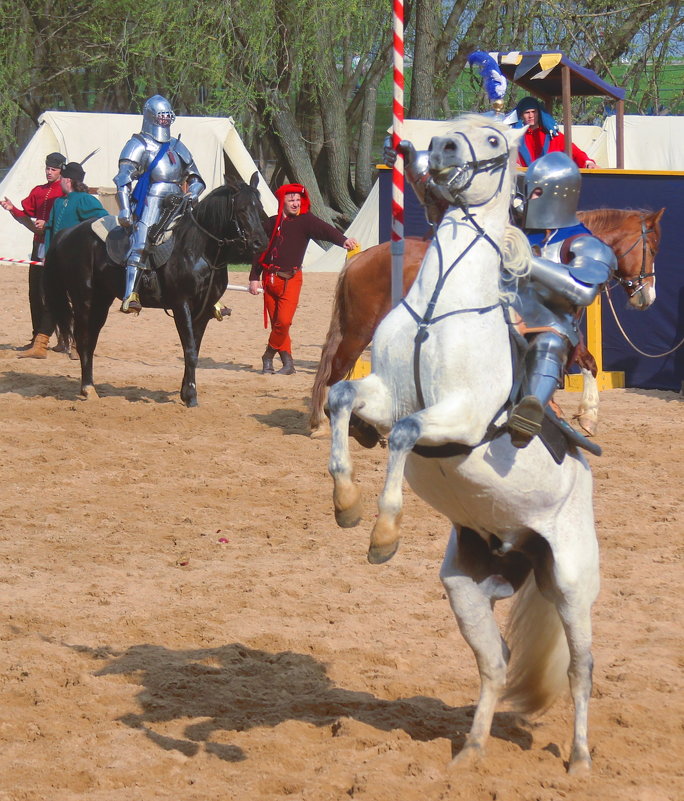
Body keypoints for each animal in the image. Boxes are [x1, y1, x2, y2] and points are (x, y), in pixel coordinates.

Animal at [43, 171, 268, 404]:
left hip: (101, 301)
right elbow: (189, 351)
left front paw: (186, 392)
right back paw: (87, 387)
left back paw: (90, 387)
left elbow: (194, 350)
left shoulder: (203, 312)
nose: (260, 242)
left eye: (259, 207)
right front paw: (191, 396)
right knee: (83, 339)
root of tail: (66, 234)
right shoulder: (181, 306)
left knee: (91, 340)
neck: (198, 250)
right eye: (241, 209)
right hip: (84, 300)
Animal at [312, 205, 664, 432]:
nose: (647, 296)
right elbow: (582, 363)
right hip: (359, 330)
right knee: (337, 368)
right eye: (653, 246)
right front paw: (582, 413)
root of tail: (361, 258)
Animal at [328, 115, 600, 772]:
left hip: (572, 586)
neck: (440, 307)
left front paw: (384, 534)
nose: (441, 148)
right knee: (495, 663)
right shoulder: (382, 394)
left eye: (496, 139)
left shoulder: (460, 418)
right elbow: (341, 399)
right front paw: (346, 504)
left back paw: (579, 761)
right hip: (467, 588)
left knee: (580, 670)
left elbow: (403, 436)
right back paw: (471, 753)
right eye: (451, 131)